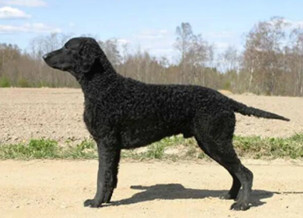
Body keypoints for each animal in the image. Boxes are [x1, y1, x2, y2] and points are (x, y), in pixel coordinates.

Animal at [42, 36, 290, 210]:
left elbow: (101, 176)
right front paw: (106, 200)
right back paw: (230, 195)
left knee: (245, 173)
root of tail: (225, 99)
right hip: (211, 143)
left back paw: (242, 204)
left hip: (215, 141)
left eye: (67, 47)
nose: (44, 56)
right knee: (235, 172)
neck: (104, 87)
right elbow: (111, 177)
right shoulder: (113, 146)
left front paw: (95, 202)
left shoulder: (106, 142)